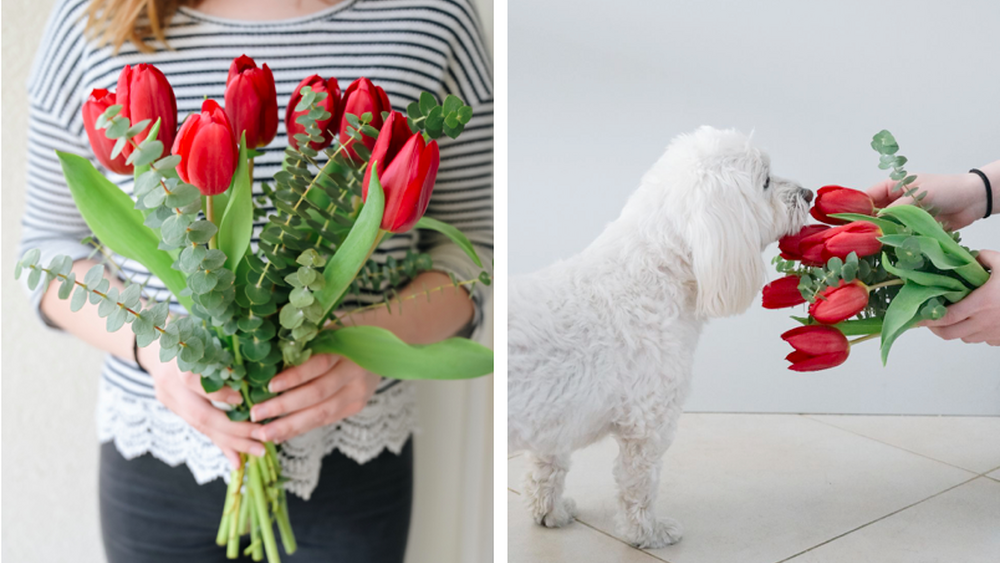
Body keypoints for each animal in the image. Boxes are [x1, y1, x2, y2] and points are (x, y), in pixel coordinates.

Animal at [508, 125, 812, 548]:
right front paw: (648, 533)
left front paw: (548, 512)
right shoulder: (647, 422)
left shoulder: (553, 419)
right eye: (765, 180)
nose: (809, 193)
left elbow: (546, 468)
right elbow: (639, 486)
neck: (652, 274)